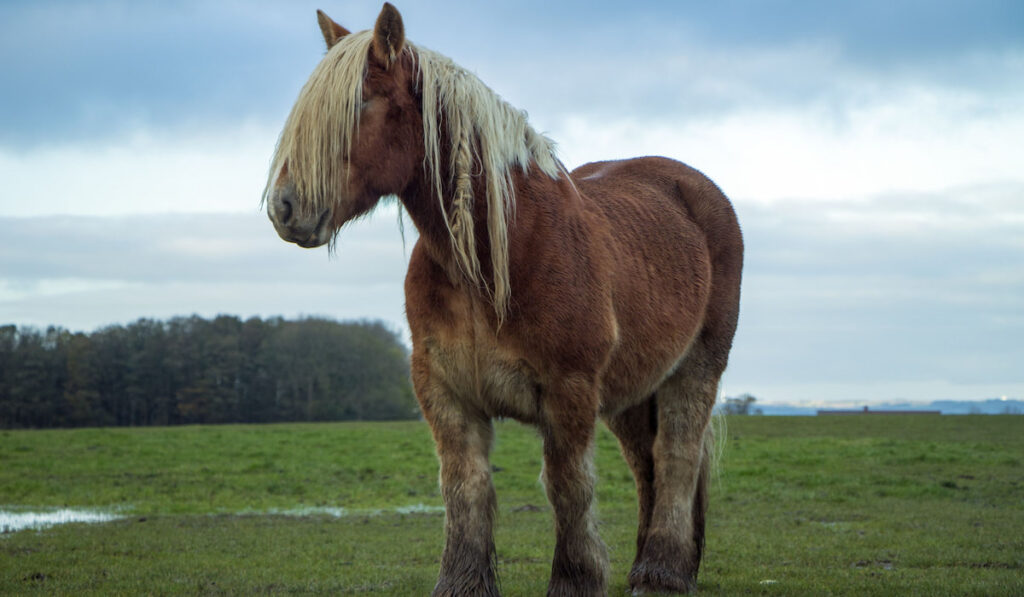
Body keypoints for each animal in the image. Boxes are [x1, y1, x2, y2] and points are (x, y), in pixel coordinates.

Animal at [264, 5, 745, 597]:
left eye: (363, 102)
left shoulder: (569, 390)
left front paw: (575, 579)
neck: (491, 261)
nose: (285, 208)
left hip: (694, 369)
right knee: (646, 465)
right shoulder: (446, 392)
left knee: (677, 457)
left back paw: (662, 574)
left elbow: (567, 487)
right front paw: (462, 582)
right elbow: (464, 489)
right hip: (633, 391)